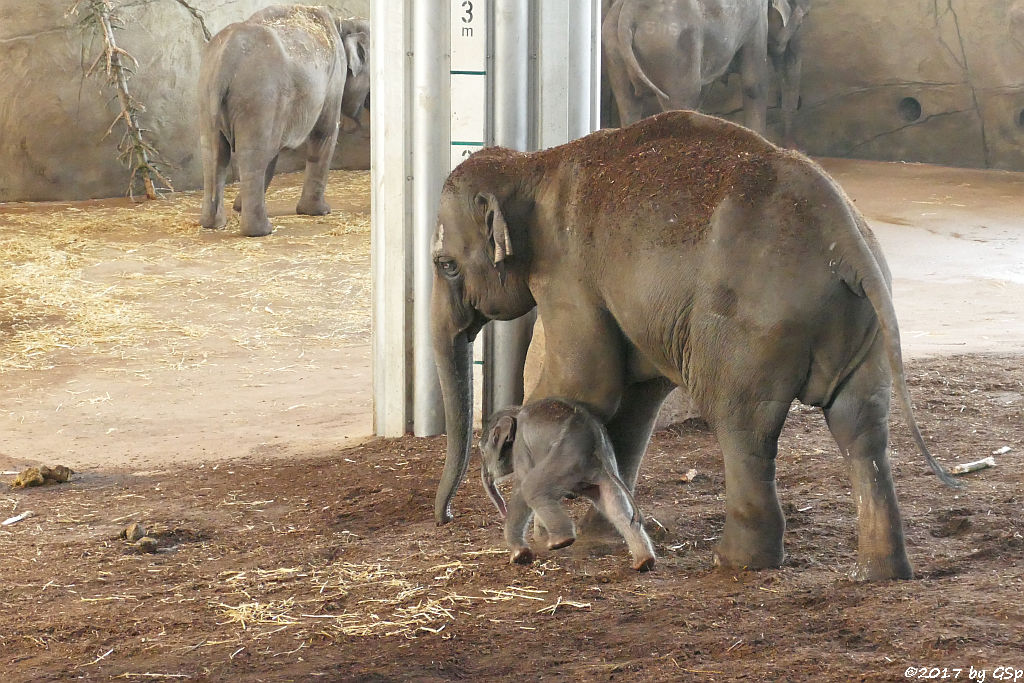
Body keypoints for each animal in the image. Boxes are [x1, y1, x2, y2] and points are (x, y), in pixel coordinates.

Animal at [197, 5, 370, 237]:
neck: (344, 22)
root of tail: (226, 57)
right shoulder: (335, 76)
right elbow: (324, 132)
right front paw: (319, 211)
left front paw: (238, 207)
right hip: (259, 94)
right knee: (254, 153)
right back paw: (261, 230)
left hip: (208, 93)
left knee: (213, 152)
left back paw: (212, 224)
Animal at [479, 397, 655, 569]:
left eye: (481, 451)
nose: (502, 510)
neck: (515, 411)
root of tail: (596, 436)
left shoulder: (521, 445)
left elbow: (521, 485)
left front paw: (519, 556)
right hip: (601, 470)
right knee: (616, 507)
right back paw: (644, 562)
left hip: (565, 458)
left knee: (530, 488)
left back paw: (560, 542)